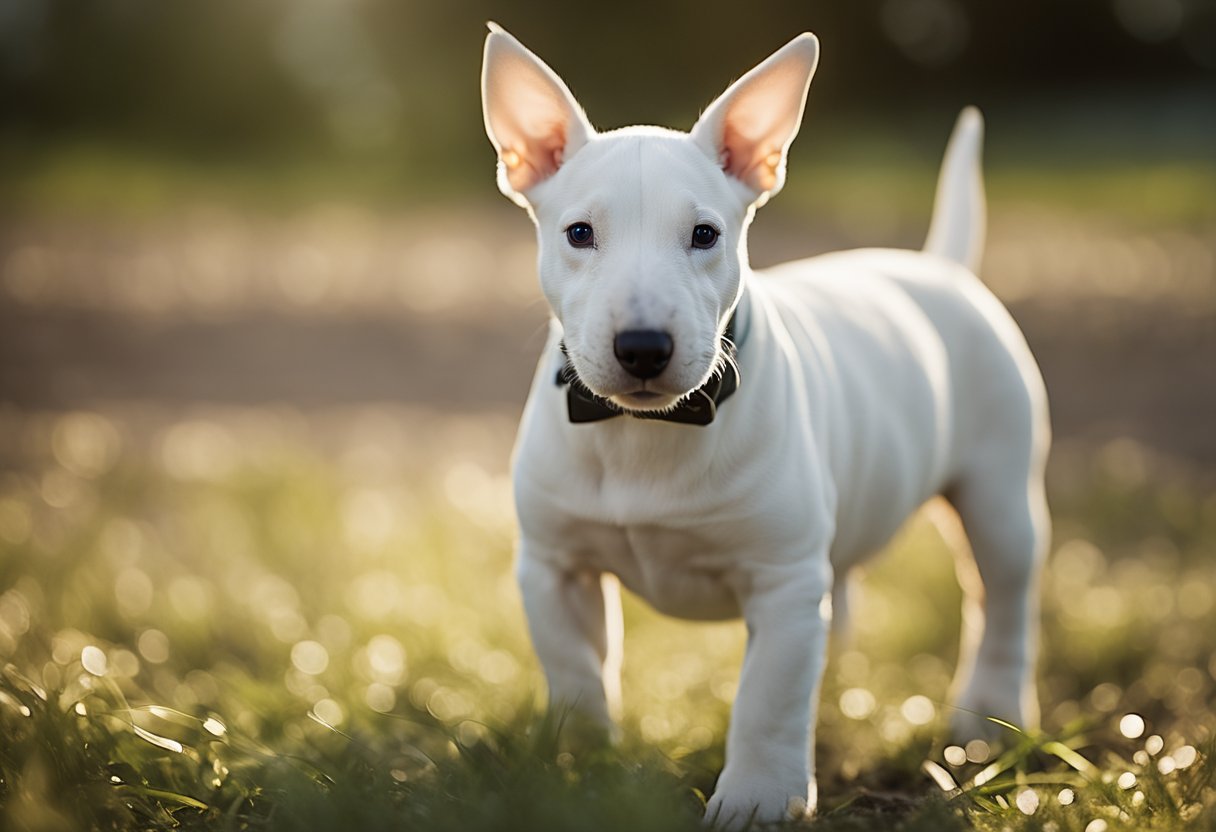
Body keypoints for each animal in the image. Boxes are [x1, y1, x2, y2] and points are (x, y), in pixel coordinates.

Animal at [479, 24, 1050, 827]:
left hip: (1000, 490)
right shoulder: (554, 566)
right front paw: (581, 768)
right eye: (579, 233)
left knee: (1002, 597)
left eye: (705, 234)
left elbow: (769, 699)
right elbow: (576, 671)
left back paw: (991, 719)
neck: (649, 430)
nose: (644, 347)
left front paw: (757, 799)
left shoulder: (782, 584)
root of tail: (942, 269)